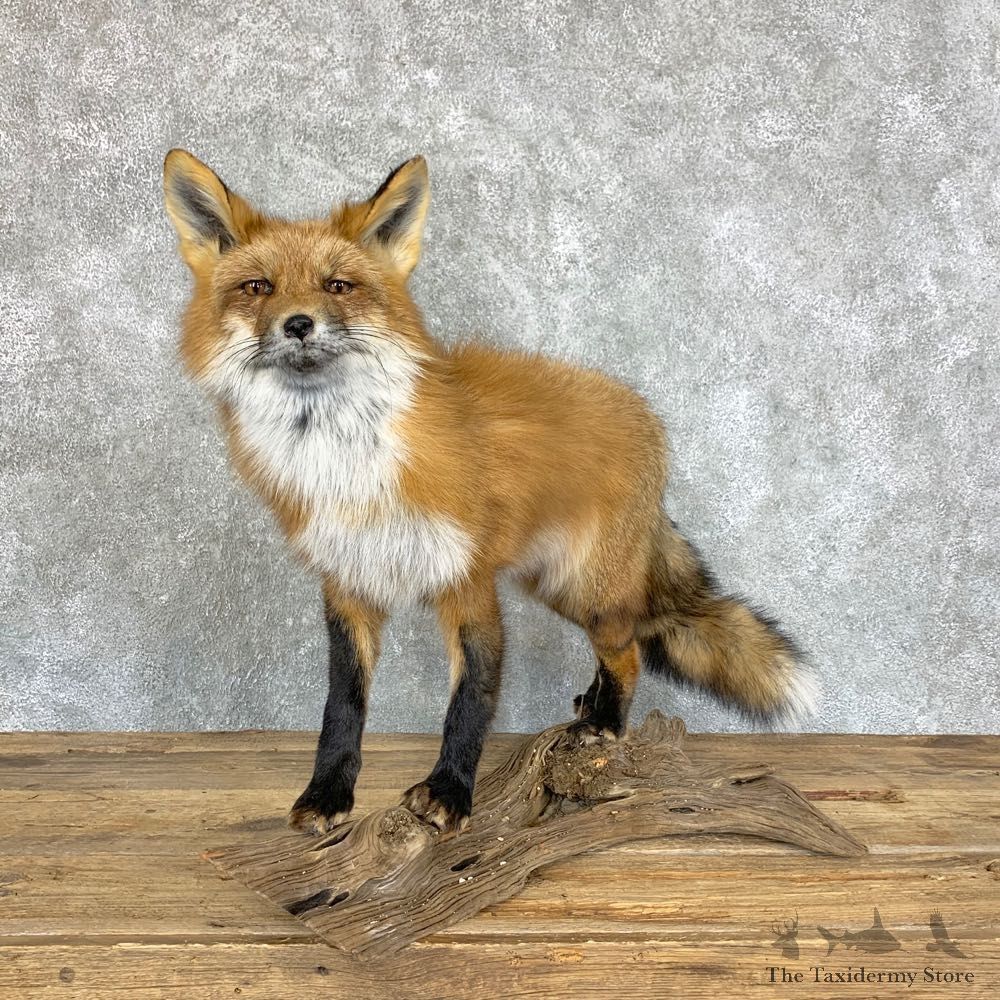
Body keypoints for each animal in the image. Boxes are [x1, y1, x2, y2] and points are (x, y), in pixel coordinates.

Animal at [162, 149, 816, 835]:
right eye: (257, 287)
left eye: (337, 286)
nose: (298, 325)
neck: (349, 459)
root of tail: (646, 419)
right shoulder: (348, 583)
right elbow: (342, 704)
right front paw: (328, 793)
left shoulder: (467, 579)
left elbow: (470, 700)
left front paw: (449, 792)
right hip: (555, 584)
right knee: (624, 643)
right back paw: (592, 706)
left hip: (586, 588)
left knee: (630, 649)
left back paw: (606, 724)